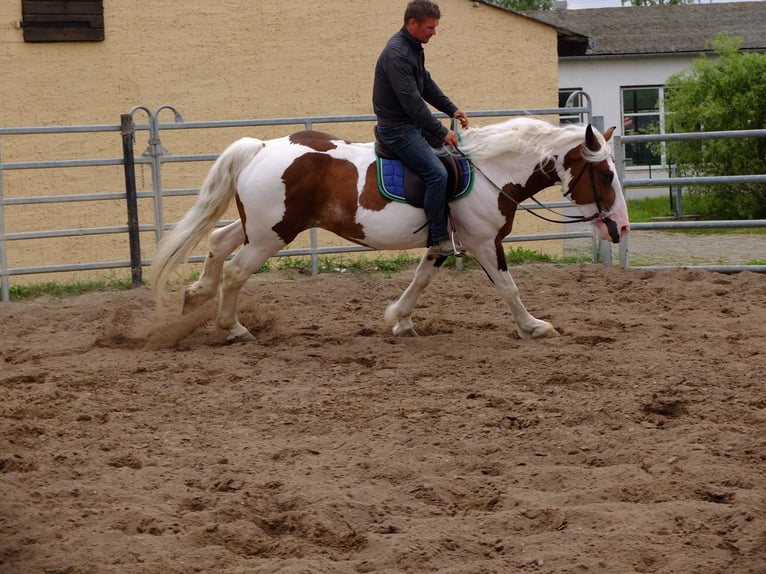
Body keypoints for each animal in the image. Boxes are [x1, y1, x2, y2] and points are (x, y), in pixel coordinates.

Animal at [150, 116, 632, 342]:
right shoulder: (483, 241)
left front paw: (399, 320)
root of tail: (264, 146)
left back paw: (195, 298)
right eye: (606, 174)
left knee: (218, 242)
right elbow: (509, 288)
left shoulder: (442, 242)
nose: (622, 227)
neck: (491, 171)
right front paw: (533, 326)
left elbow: (420, 279)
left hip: (262, 227)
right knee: (235, 272)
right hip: (273, 234)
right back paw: (232, 328)